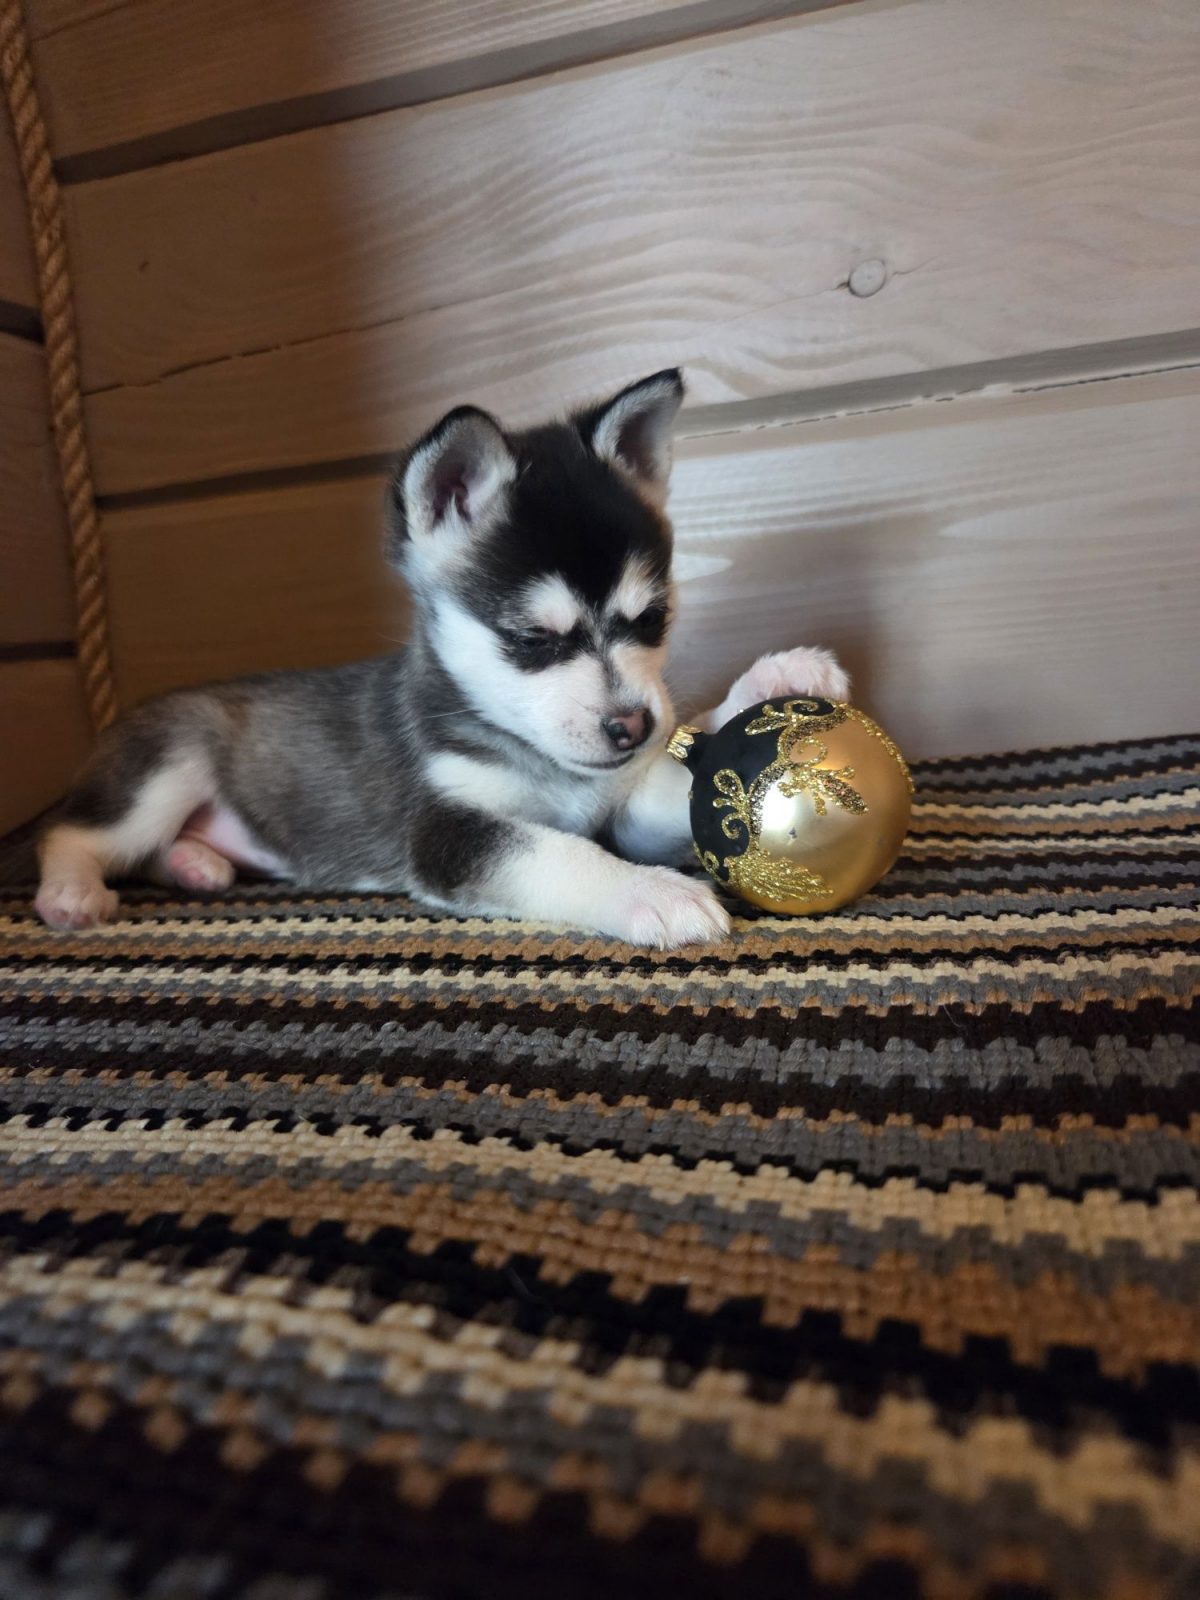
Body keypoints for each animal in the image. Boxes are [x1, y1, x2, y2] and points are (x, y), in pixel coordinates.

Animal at [33, 370, 848, 947]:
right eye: (534, 640)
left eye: (652, 619)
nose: (633, 727)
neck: (537, 759)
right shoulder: (448, 834)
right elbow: (558, 853)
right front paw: (655, 892)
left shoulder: (624, 814)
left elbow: (671, 792)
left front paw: (774, 677)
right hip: (167, 766)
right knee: (76, 833)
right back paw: (73, 891)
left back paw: (196, 862)